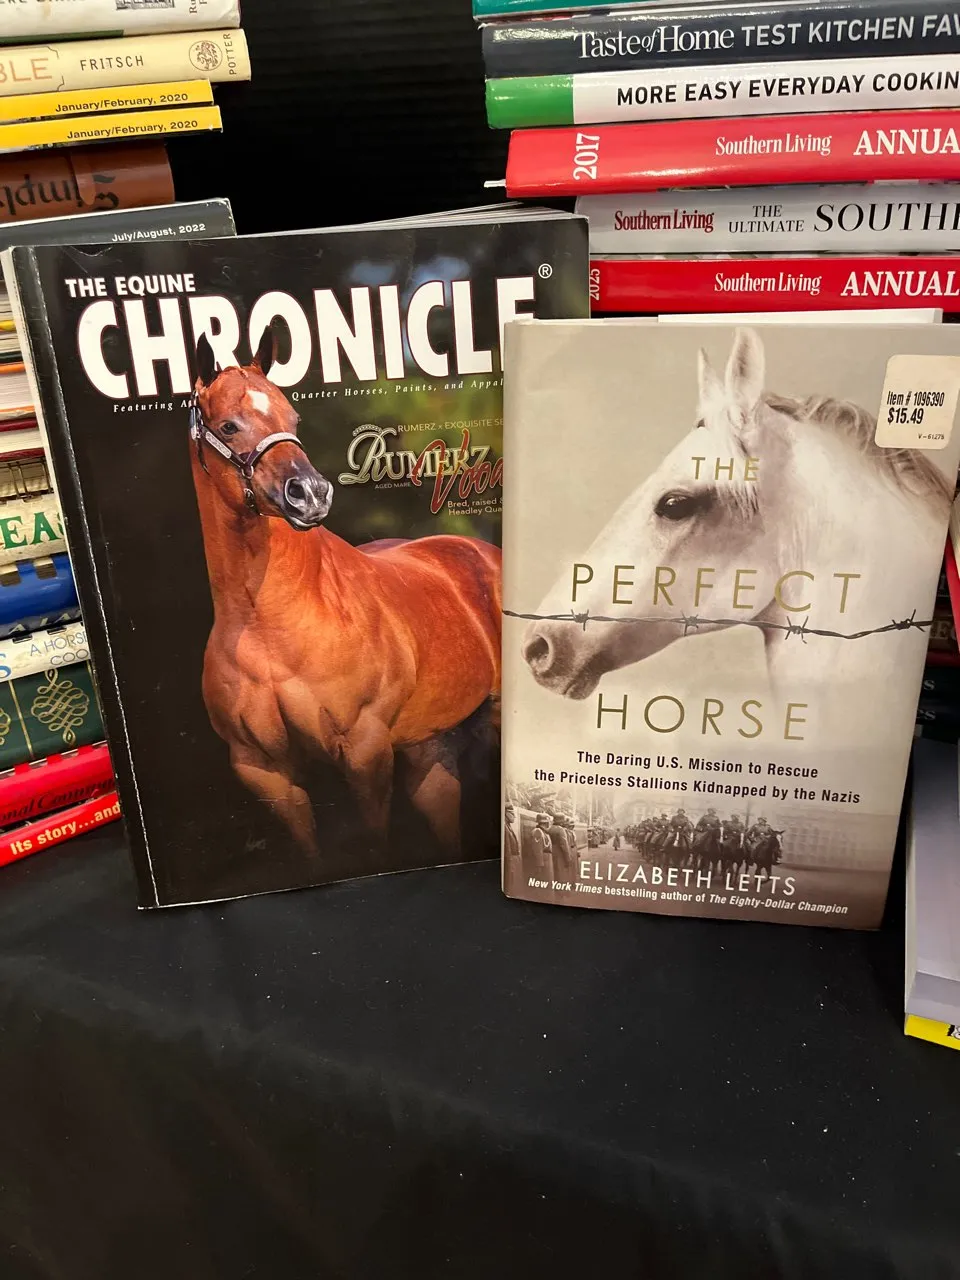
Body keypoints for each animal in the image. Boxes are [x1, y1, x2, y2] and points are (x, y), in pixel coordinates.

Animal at [189, 328, 502, 858]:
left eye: (292, 417)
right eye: (229, 426)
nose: (311, 494)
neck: (268, 624)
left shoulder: (364, 751)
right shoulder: (266, 774)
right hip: (428, 747)